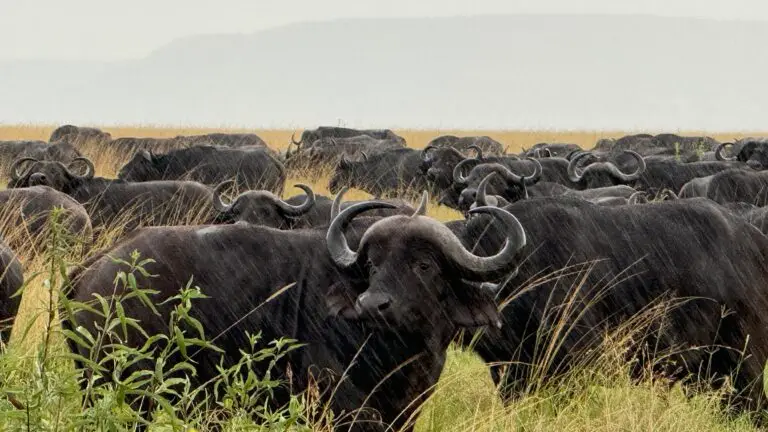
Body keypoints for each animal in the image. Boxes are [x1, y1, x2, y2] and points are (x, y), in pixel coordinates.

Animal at [69, 197, 524, 432]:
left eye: (424, 265)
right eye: (373, 264)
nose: (372, 305)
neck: (397, 355)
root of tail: (95, 268)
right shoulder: (344, 412)